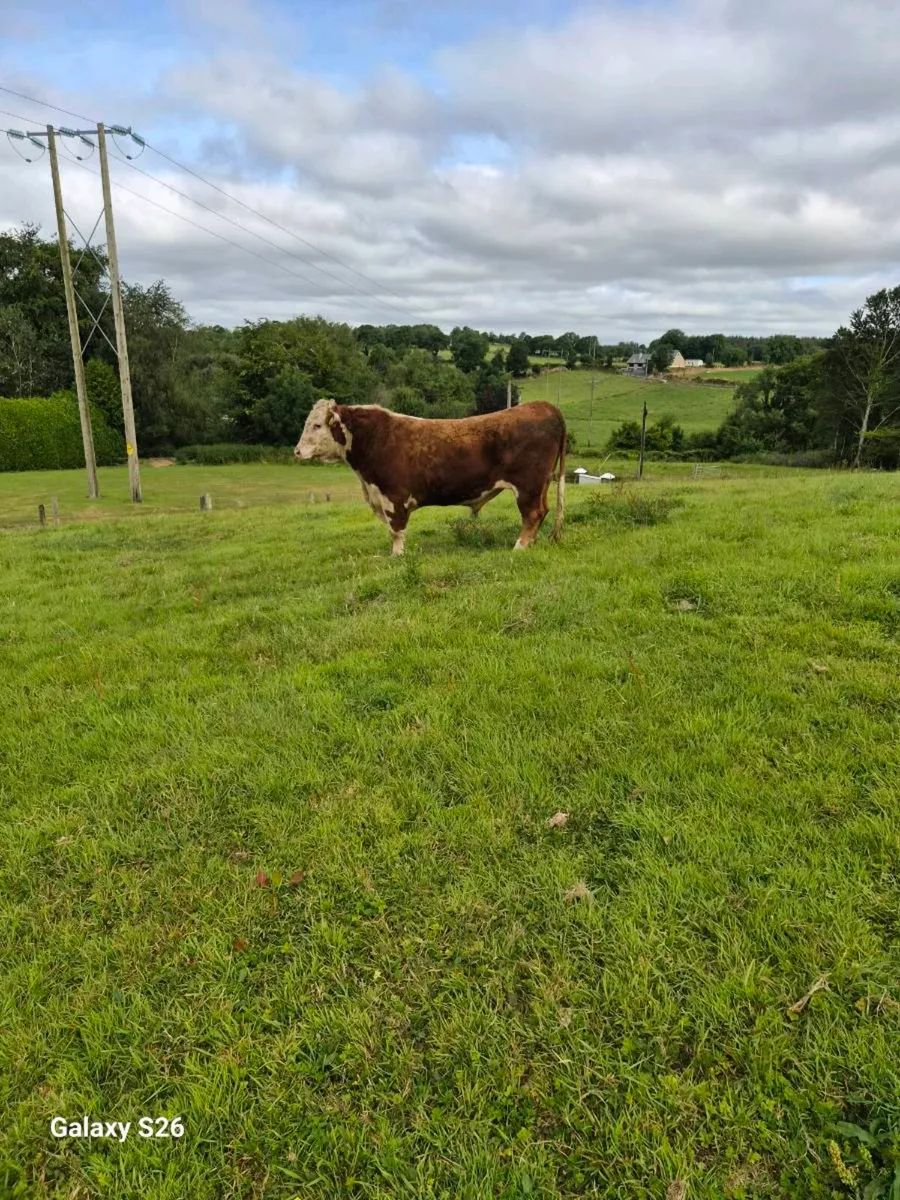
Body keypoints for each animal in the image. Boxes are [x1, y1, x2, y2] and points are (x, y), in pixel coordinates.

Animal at [294, 399, 567, 556]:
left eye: (317, 425)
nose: (296, 451)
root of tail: (543, 405)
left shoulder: (394, 497)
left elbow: (396, 531)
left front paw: (397, 556)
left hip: (528, 485)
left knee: (532, 514)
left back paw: (519, 547)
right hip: (541, 484)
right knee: (543, 511)